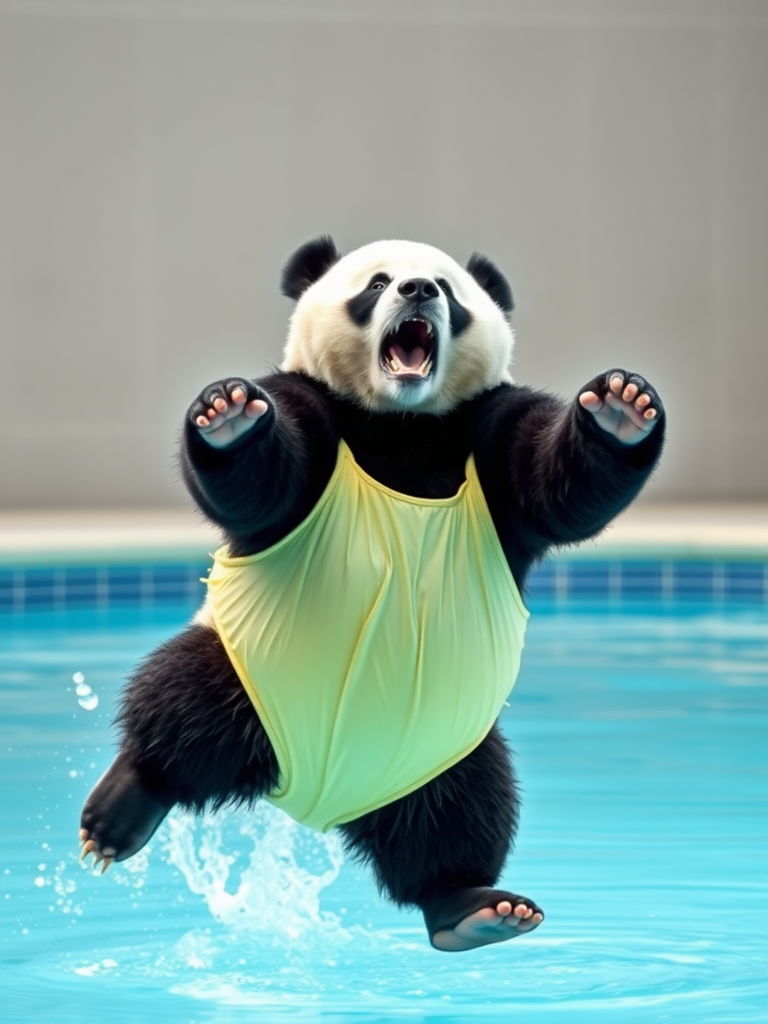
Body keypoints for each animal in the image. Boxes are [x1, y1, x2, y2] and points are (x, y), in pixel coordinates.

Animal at [79, 235, 667, 946]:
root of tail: (313, 797)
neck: (402, 427)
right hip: (244, 669)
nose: (418, 290)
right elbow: (259, 478)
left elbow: (559, 485)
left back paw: (471, 908)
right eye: (378, 282)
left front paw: (621, 409)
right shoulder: (315, 411)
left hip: (444, 746)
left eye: (448, 289)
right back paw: (124, 806)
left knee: (461, 809)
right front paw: (226, 413)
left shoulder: (486, 432)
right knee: (182, 703)